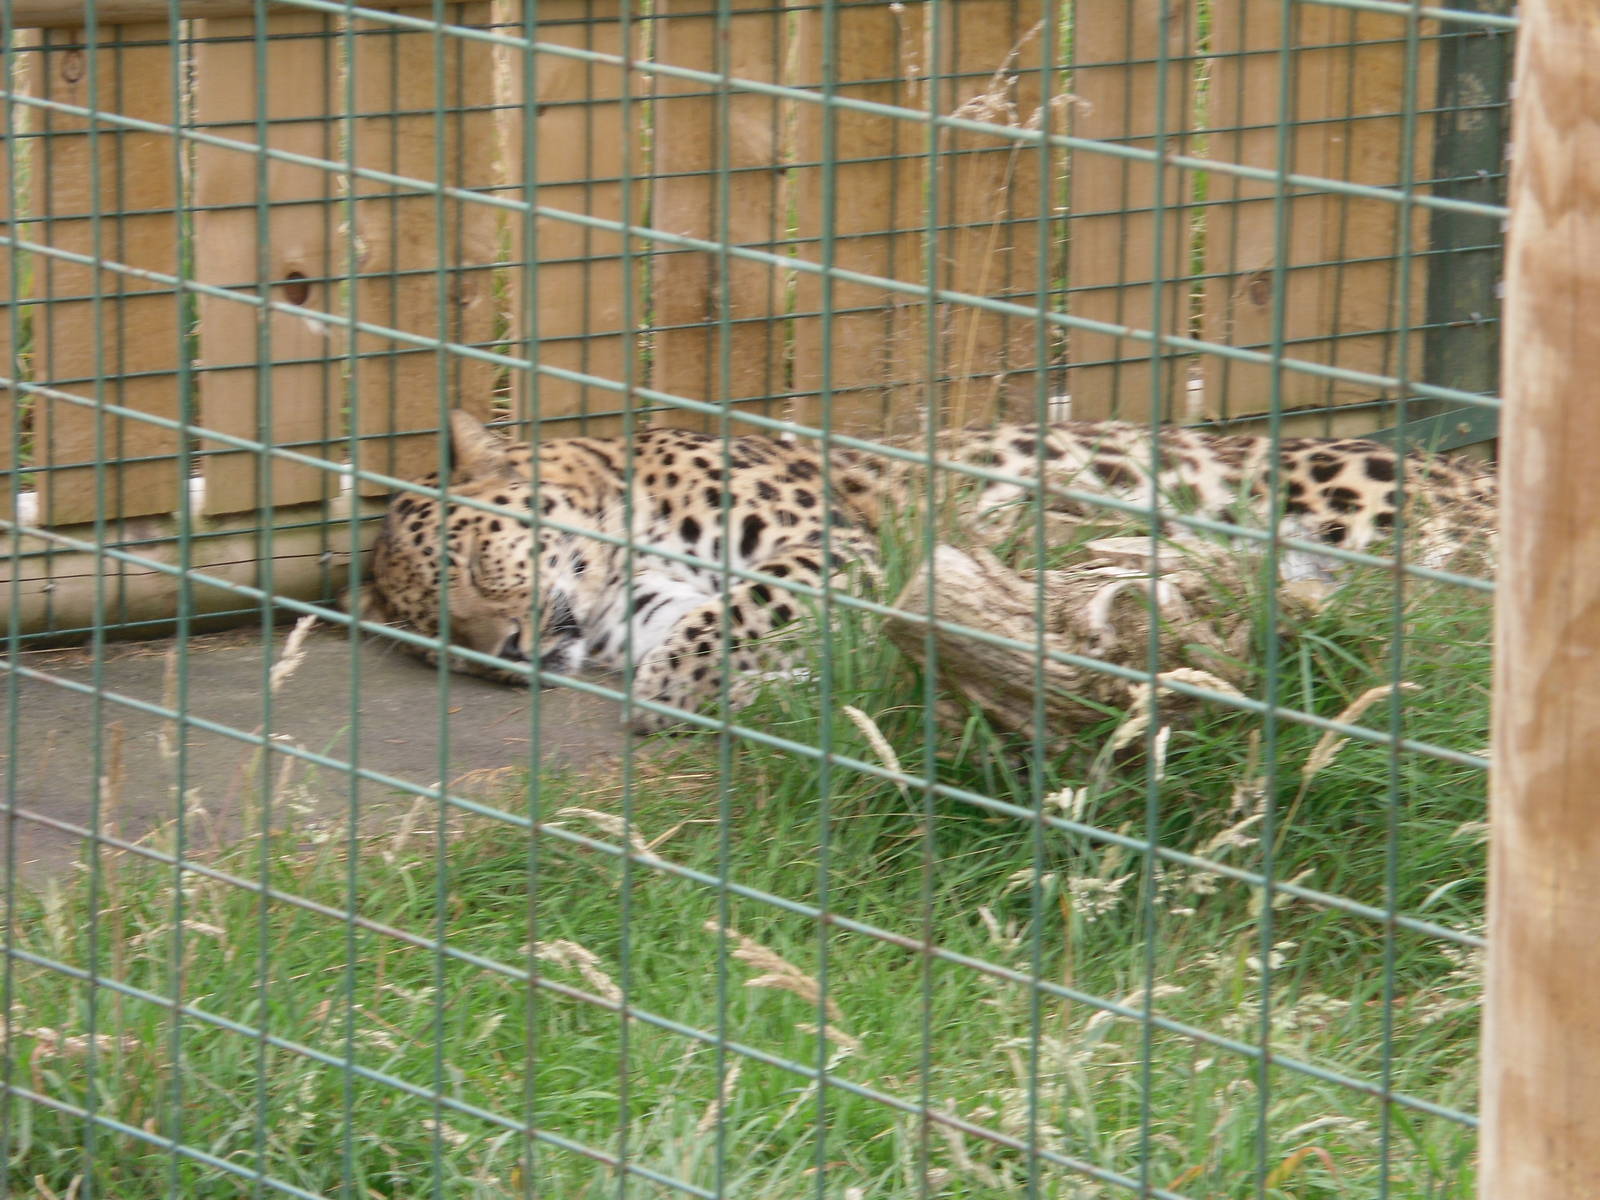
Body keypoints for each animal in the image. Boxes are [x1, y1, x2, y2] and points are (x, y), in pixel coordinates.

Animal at [351, 409, 1496, 733]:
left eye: (473, 558)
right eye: (432, 632)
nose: (500, 650)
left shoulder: (833, 543)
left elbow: (748, 604)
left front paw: (678, 686)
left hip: (1358, 497)